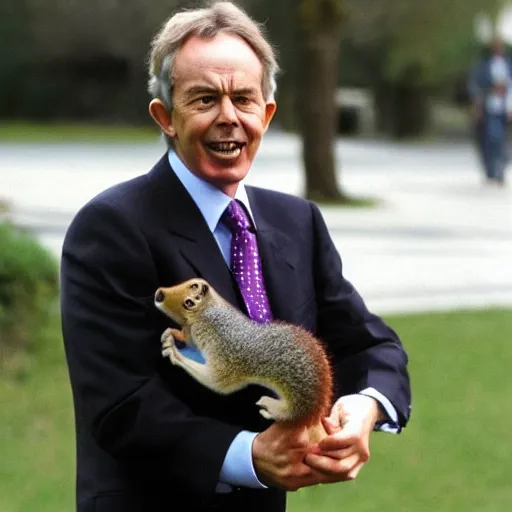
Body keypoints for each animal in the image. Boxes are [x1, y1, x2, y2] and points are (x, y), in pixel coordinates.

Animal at [154, 278, 334, 442]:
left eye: (188, 302)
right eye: (190, 283)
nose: (159, 294)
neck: (208, 307)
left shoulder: (201, 335)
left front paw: (173, 345)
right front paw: (171, 334)